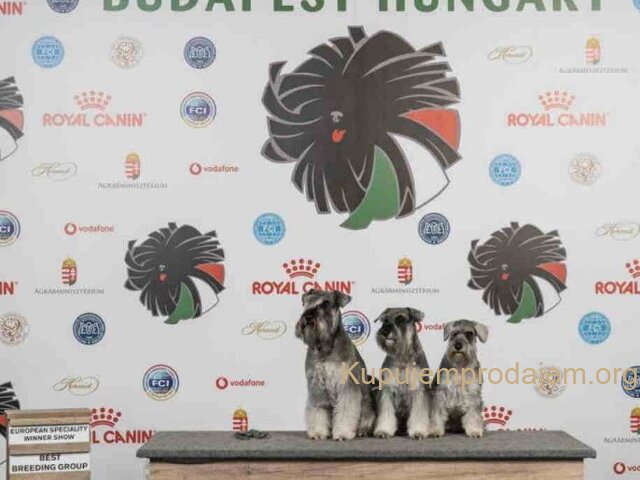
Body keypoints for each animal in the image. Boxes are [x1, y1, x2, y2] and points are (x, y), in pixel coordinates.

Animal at [295, 289, 376, 441]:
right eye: (307, 301)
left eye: (325, 303)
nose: (308, 317)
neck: (325, 348)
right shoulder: (316, 386)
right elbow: (318, 410)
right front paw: (318, 432)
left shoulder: (346, 385)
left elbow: (345, 410)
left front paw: (343, 433)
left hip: (367, 406)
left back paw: (362, 430)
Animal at [373, 308, 431, 439]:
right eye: (384, 320)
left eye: (400, 319)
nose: (384, 331)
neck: (402, 356)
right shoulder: (387, 391)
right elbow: (386, 414)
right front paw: (384, 430)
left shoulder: (418, 391)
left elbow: (418, 414)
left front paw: (418, 431)